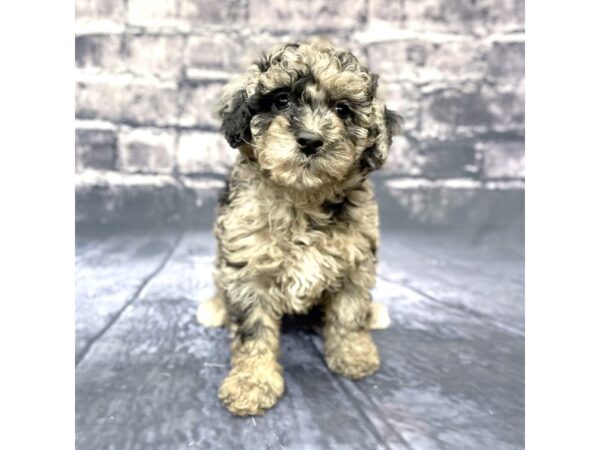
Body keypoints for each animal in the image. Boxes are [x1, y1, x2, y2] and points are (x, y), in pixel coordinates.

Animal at [197, 38, 404, 414]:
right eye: (282, 100)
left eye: (342, 110)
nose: (310, 140)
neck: (302, 197)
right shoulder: (248, 268)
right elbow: (253, 331)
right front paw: (252, 383)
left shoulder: (356, 261)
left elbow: (349, 313)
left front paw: (353, 355)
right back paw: (215, 308)